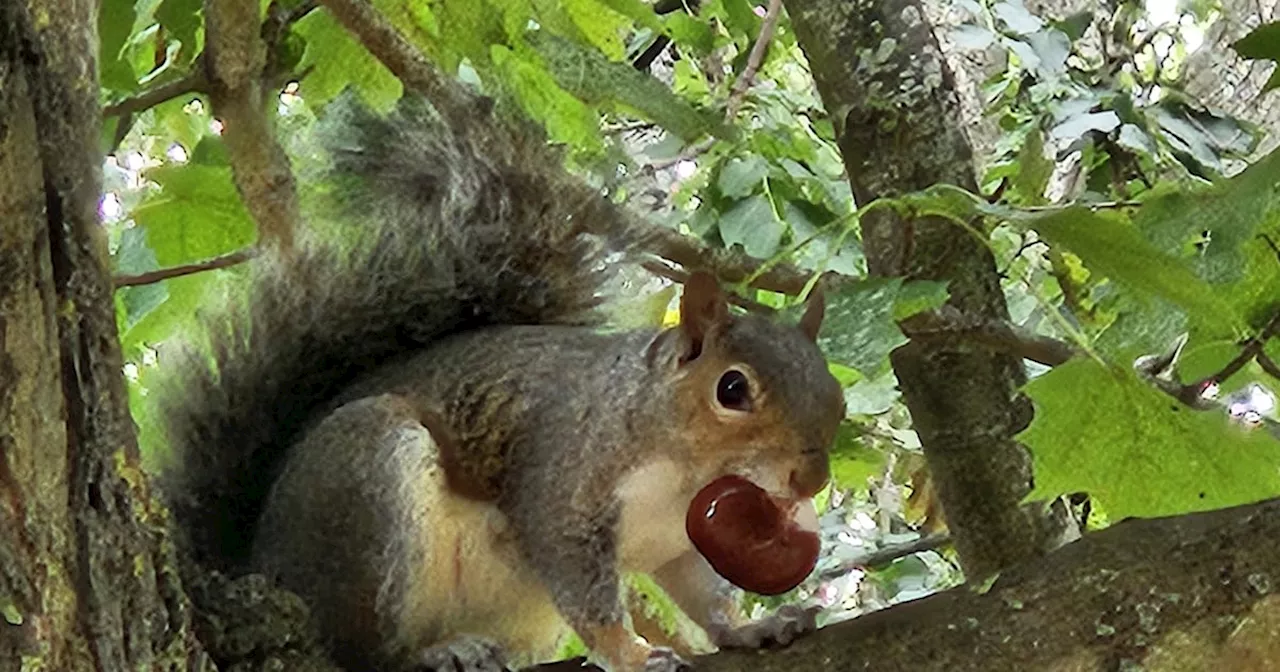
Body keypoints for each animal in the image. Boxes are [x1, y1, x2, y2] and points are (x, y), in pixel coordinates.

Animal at [152, 90, 849, 670]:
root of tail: (257, 566)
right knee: (358, 650)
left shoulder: (678, 542)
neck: (680, 471)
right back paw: (433, 653)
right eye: (731, 390)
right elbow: (587, 594)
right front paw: (632, 653)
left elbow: (705, 595)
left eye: (837, 397)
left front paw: (752, 628)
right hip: (365, 484)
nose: (810, 479)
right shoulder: (561, 486)